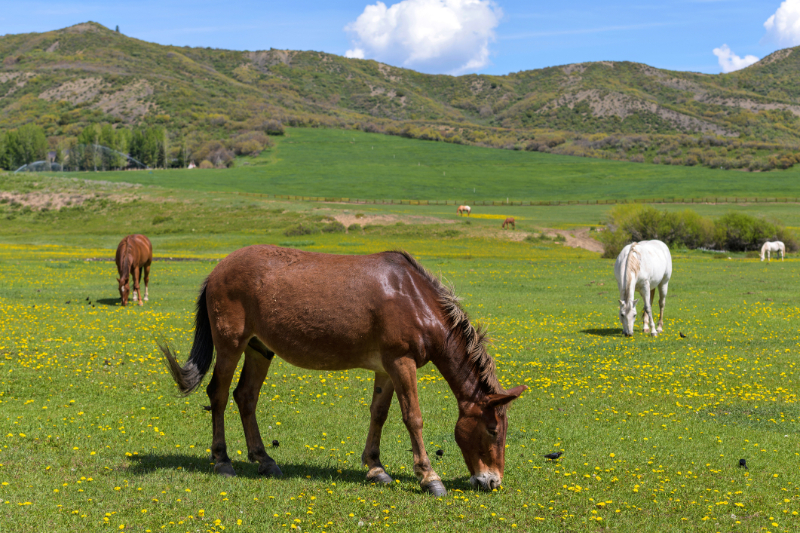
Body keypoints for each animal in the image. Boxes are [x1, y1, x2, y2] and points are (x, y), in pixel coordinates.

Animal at [160, 246, 528, 494]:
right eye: (493, 430)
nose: (492, 481)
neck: (412, 298)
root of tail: (217, 270)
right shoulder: (401, 362)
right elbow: (413, 417)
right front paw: (429, 477)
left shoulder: (386, 368)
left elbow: (379, 413)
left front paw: (376, 468)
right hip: (231, 344)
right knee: (219, 395)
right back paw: (223, 461)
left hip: (259, 348)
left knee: (245, 397)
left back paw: (264, 460)